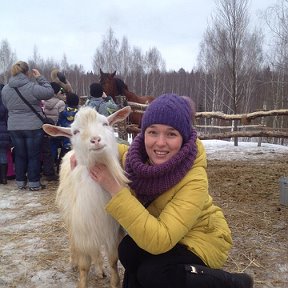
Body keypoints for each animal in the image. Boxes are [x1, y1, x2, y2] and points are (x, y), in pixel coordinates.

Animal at [42, 106, 130, 288]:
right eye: (75, 131)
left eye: (105, 123)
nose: (95, 140)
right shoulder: (82, 230)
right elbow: (84, 265)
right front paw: (82, 280)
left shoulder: (111, 232)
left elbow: (113, 260)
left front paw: (114, 281)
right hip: (71, 221)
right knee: (73, 242)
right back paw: (73, 262)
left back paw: (100, 270)